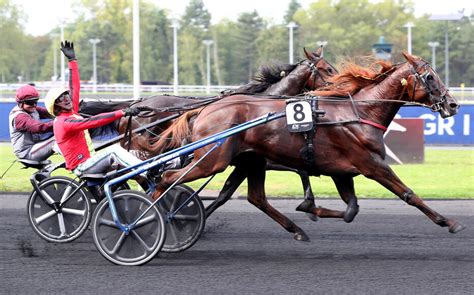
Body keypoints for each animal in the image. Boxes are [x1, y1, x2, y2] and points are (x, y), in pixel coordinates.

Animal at [151, 52, 462, 242]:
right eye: (430, 77)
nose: (453, 104)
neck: (360, 113)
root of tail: (203, 110)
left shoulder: (342, 171)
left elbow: (351, 210)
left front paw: (311, 209)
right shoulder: (371, 164)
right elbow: (408, 194)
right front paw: (449, 222)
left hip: (248, 160)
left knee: (255, 197)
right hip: (211, 160)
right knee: (166, 178)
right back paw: (158, 217)